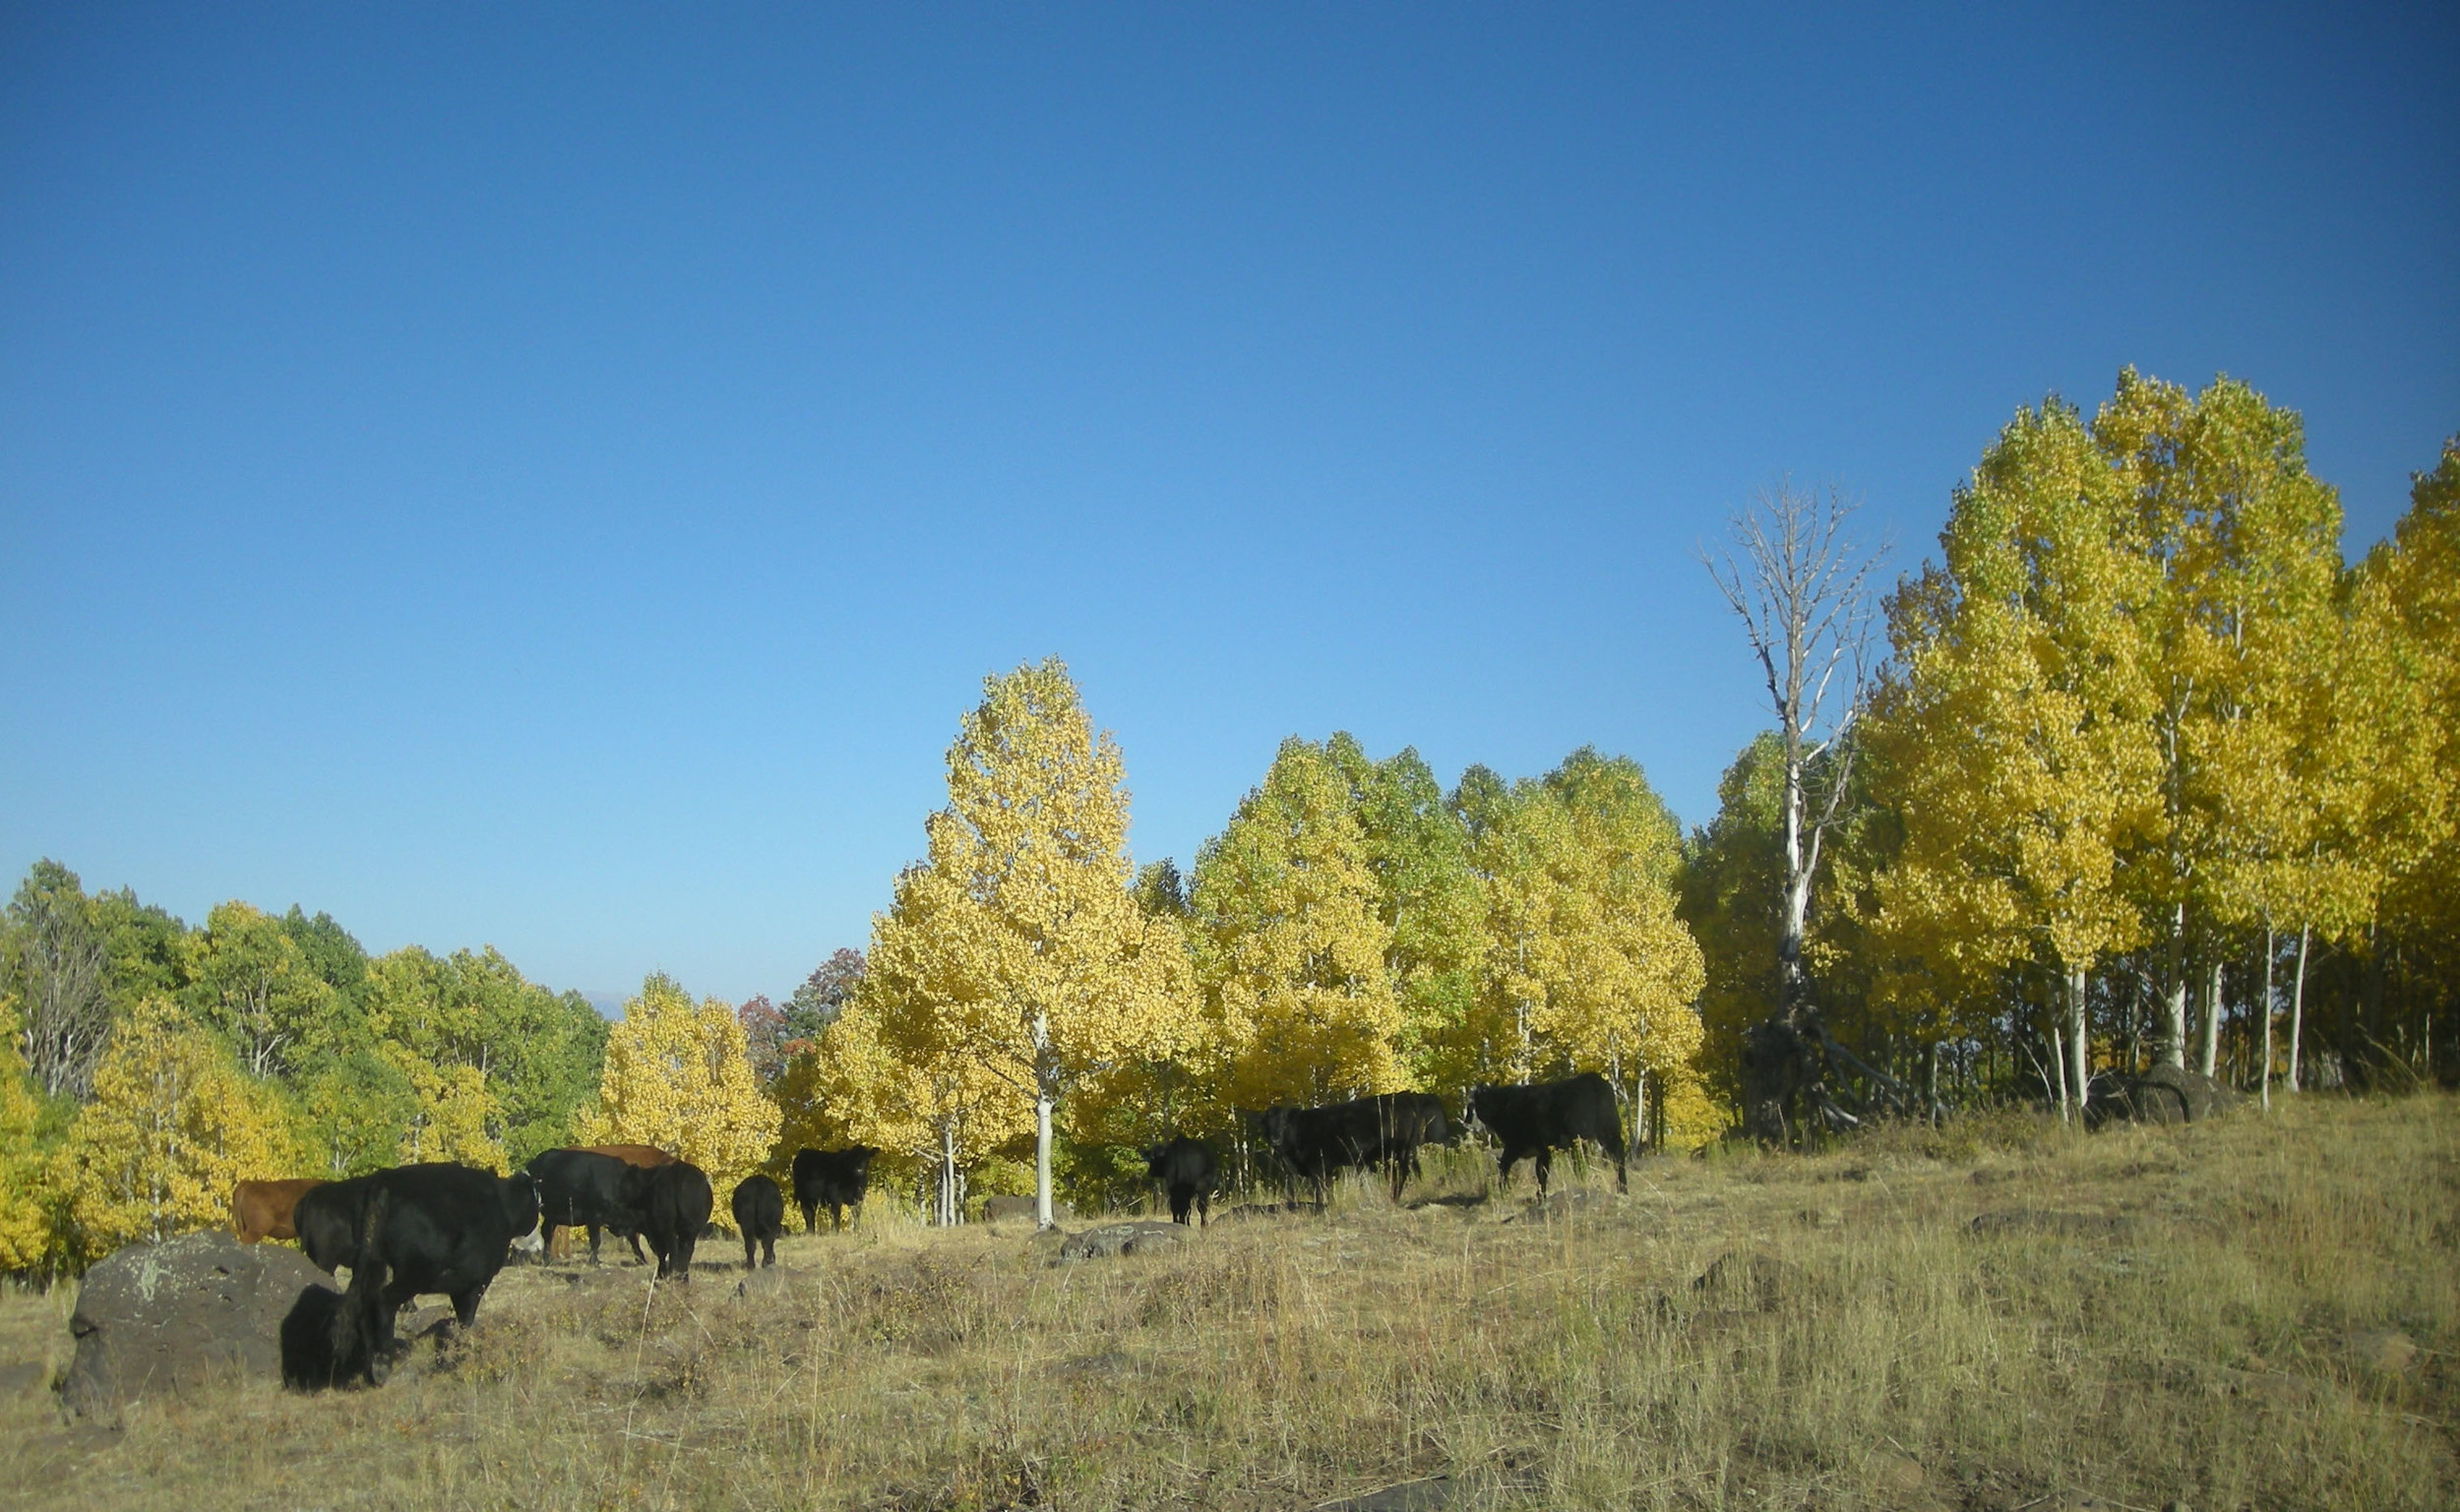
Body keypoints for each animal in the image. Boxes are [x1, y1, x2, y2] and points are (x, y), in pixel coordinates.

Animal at [1240, 1086, 1446, 1204]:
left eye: (1284, 1124)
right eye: (1266, 1125)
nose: (1275, 1139)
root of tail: (1406, 1096)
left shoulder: (1317, 1165)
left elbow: (1319, 1189)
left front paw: (1320, 1210)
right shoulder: (1327, 1168)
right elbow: (1328, 1189)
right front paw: (1330, 1205)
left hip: (1399, 1150)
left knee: (1401, 1174)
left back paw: (1395, 1198)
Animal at [1466, 1076, 1624, 1194]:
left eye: (1472, 1105)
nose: (1466, 1123)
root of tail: (1593, 1079)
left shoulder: (1517, 1146)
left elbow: (1509, 1167)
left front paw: (1505, 1192)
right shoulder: (1540, 1151)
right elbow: (1540, 1172)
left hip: (1578, 1137)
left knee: (1581, 1164)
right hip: (1609, 1130)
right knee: (1617, 1156)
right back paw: (1623, 1189)